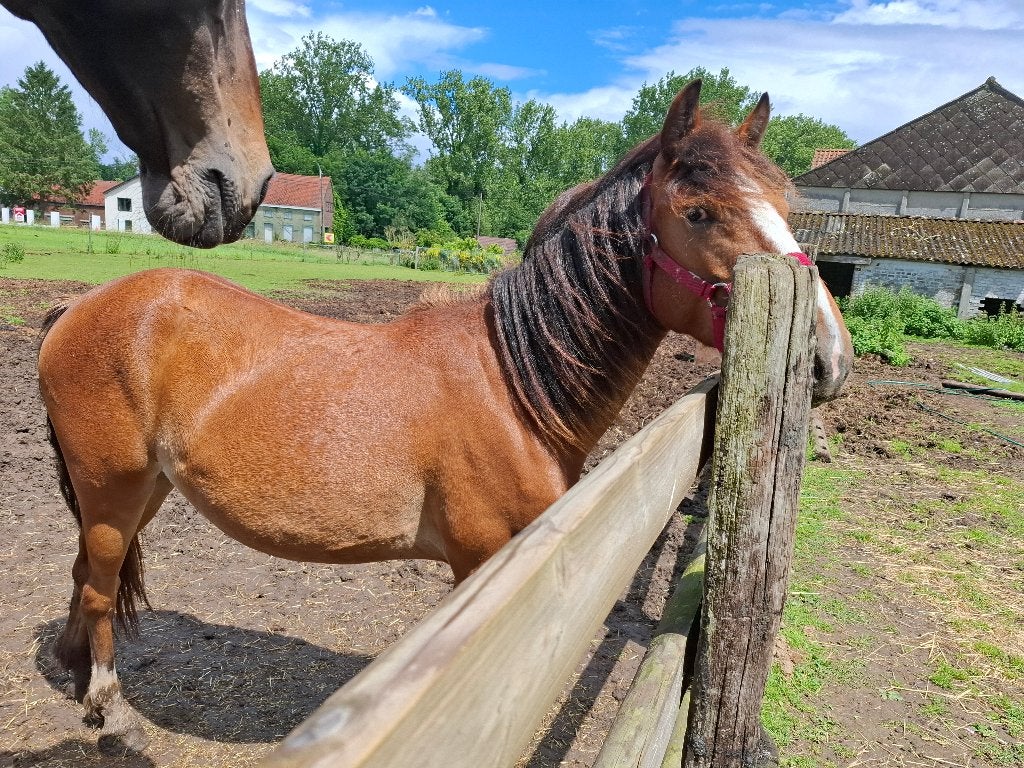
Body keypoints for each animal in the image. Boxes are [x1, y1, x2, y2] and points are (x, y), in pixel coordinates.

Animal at [36, 80, 853, 752]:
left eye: (784, 210)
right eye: (699, 212)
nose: (829, 357)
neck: (516, 385)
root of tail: (76, 309)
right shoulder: (477, 566)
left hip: (145, 491)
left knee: (87, 576)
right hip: (113, 491)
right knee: (98, 587)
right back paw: (110, 709)